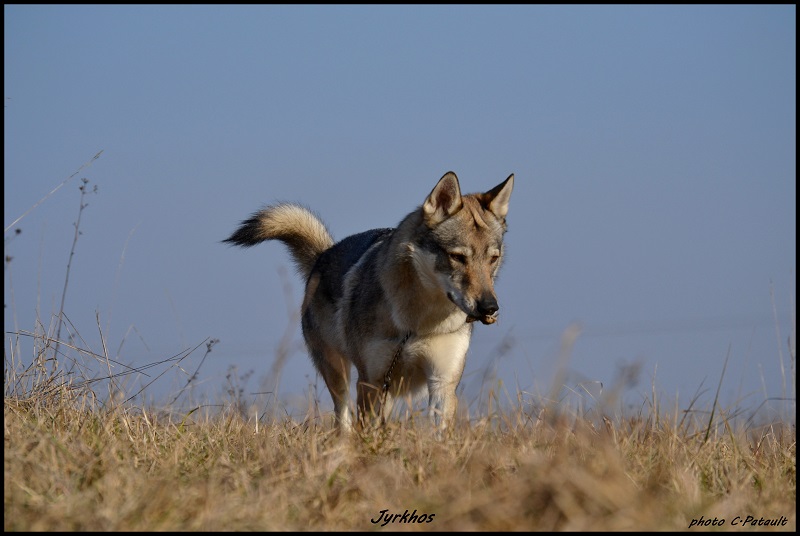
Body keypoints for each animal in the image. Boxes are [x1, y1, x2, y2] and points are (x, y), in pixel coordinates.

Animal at [223, 172, 512, 432]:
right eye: (458, 257)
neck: (419, 323)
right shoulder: (370, 381)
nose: (490, 308)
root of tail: (323, 255)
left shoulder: (442, 382)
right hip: (339, 374)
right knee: (342, 418)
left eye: (493, 259)